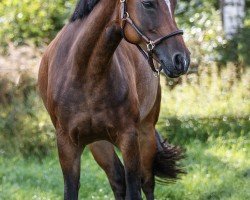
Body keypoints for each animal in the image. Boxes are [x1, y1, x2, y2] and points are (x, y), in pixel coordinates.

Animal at [37, 0, 189, 198]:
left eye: (174, 4)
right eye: (148, 3)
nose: (181, 60)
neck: (86, 74)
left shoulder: (129, 138)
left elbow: (135, 187)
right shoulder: (67, 144)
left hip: (146, 132)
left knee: (147, 182)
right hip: (99, 143)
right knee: (117, 180)